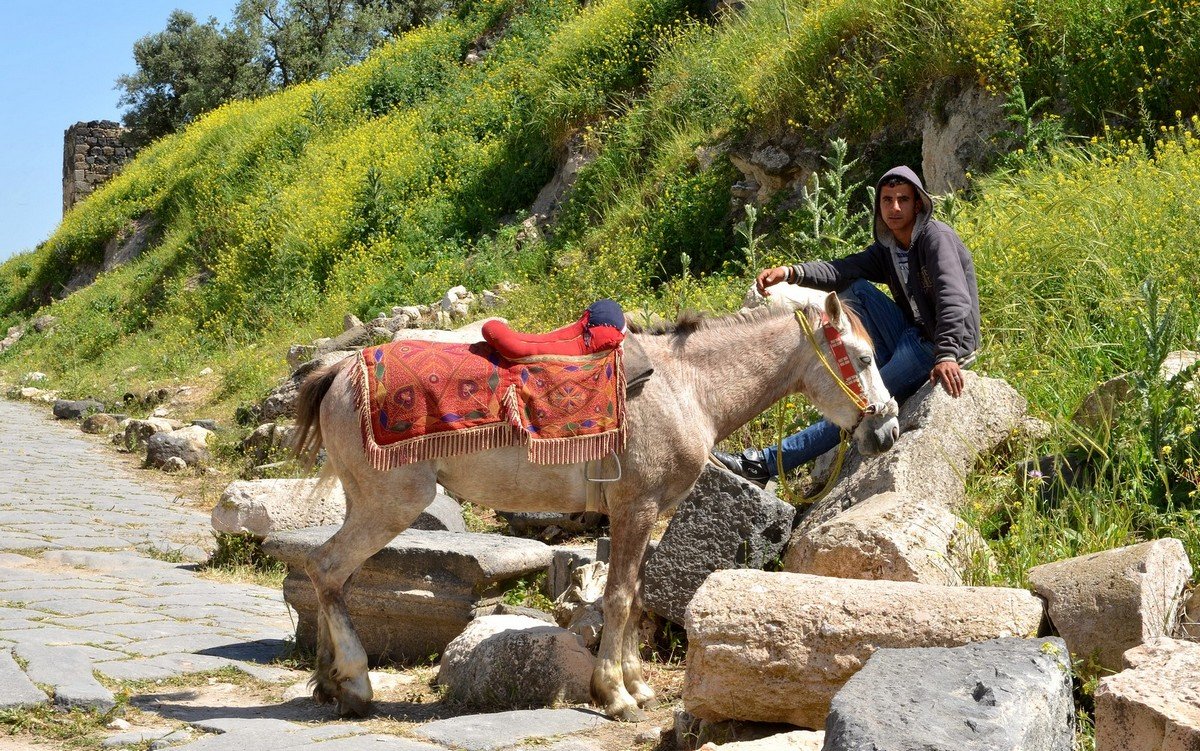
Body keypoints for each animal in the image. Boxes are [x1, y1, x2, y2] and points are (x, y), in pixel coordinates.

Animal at [292, 287, 902, 719]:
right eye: (863, 357)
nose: (888, 430)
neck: (686, 387)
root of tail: (341, 371)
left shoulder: (650, 514)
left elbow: (636, 597)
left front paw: (636, 685)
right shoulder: (635, 509)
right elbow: (619, 598)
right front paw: (614, 693)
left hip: (366, 505)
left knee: (328, 575)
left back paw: (327, 682)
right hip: (390, 504)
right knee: (328, 569)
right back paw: (355, 682)